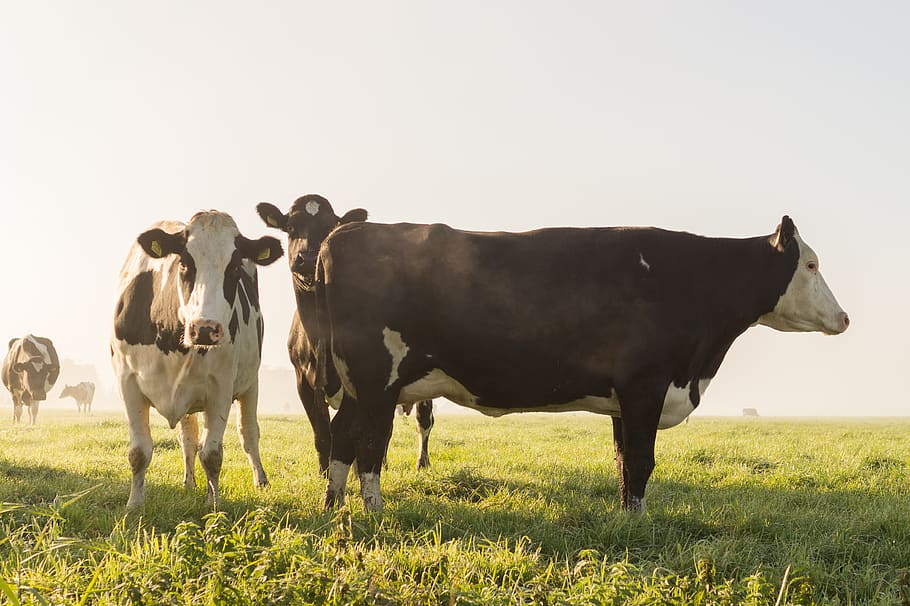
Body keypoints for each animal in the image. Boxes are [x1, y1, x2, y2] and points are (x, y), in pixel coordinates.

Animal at [111, 210, 283, 508]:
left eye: (234, 268)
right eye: (183, 263)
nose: (204, 328)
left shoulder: (221, 388)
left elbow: (212, 455)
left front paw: (213, 505)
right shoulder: (127, 382)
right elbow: (139, 451)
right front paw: (134, 505)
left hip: (251, 383)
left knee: (248, 432)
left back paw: (259, 480)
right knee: (188, 438)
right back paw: (189, 482)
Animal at [256, 194, 435, 473]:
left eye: (330, 227)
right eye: (291, 227)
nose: (309, 258)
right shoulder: (303, 381)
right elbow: (322, 434)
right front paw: (325, 472)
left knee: (423, 420)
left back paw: (421, 462)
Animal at [315, 215, 849, 513]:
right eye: (811, 264)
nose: (844, 318)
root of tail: (343, 232)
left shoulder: (622, 399)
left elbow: (623, 462)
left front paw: (628, 518)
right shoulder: (645, 385)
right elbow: (641, 461)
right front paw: (637, 523)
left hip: (359, 386)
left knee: (342, 437)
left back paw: (333, 507)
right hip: (377, 381)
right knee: (369, 446)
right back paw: (374, 512)